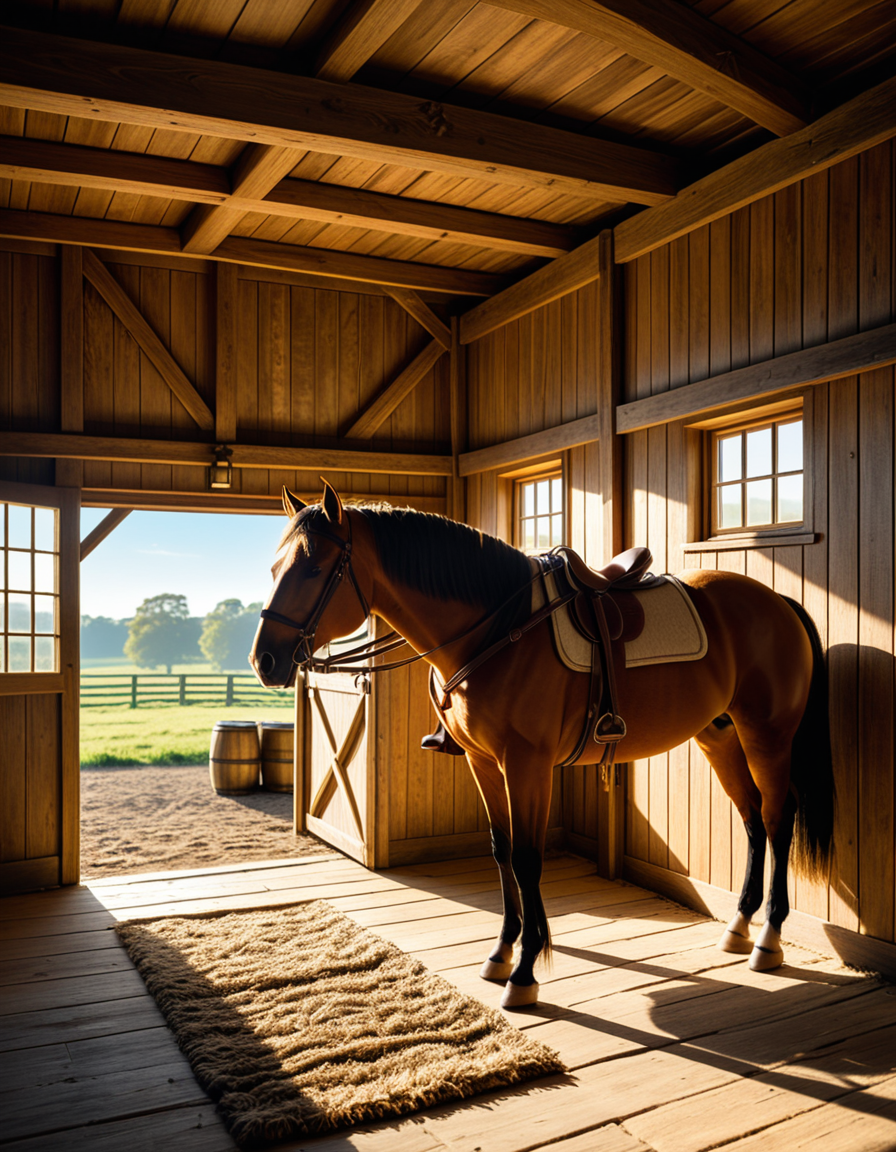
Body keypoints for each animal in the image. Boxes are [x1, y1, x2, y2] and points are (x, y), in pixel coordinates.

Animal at [251, 482, 834, 1009]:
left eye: (312, 569)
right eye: (275, 568)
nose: (265, 661)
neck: (497, 628)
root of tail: (776, 600)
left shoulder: (527, 765)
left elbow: (528, 858)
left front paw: (525, 972)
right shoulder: (484, 763)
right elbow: (502, 850)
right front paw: (501, 953)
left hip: (767, 735)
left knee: (778, 818)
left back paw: (768, 939)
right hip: (720, 735)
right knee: (753, 820)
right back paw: (738, 926)